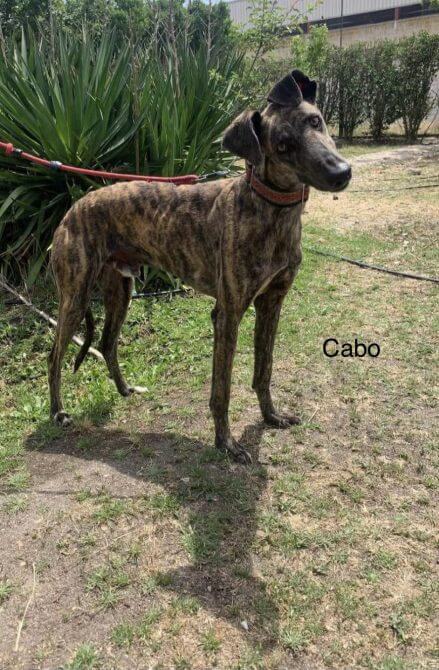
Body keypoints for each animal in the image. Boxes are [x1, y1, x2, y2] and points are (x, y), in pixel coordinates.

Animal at [48, 70, 351, 463]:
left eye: (316, 121)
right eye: (282, 145)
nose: (342, 172)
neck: (268, 208)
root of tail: (73, 209)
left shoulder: (271, 303)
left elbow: (264, 370)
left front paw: (271, 416)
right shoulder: (227, 313)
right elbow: (221, 390)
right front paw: (226, 443)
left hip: (120, 292)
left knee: (108, 342)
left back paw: (125, 389)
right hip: (75, 297)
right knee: (55, 355)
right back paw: (58, 412)